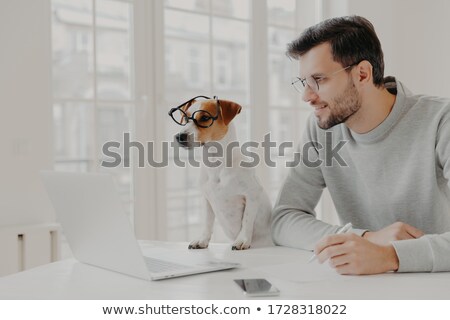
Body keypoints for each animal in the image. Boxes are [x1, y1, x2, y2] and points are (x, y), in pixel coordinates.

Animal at [170, 95, 272, 250]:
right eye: (186, 118)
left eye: (205, 117)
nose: (179, 136)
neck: (216, 164)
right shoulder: (206, 199)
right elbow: (207, 222)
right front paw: (202, 240)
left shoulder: (253, 194)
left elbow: (247, 219)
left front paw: (242, 240)